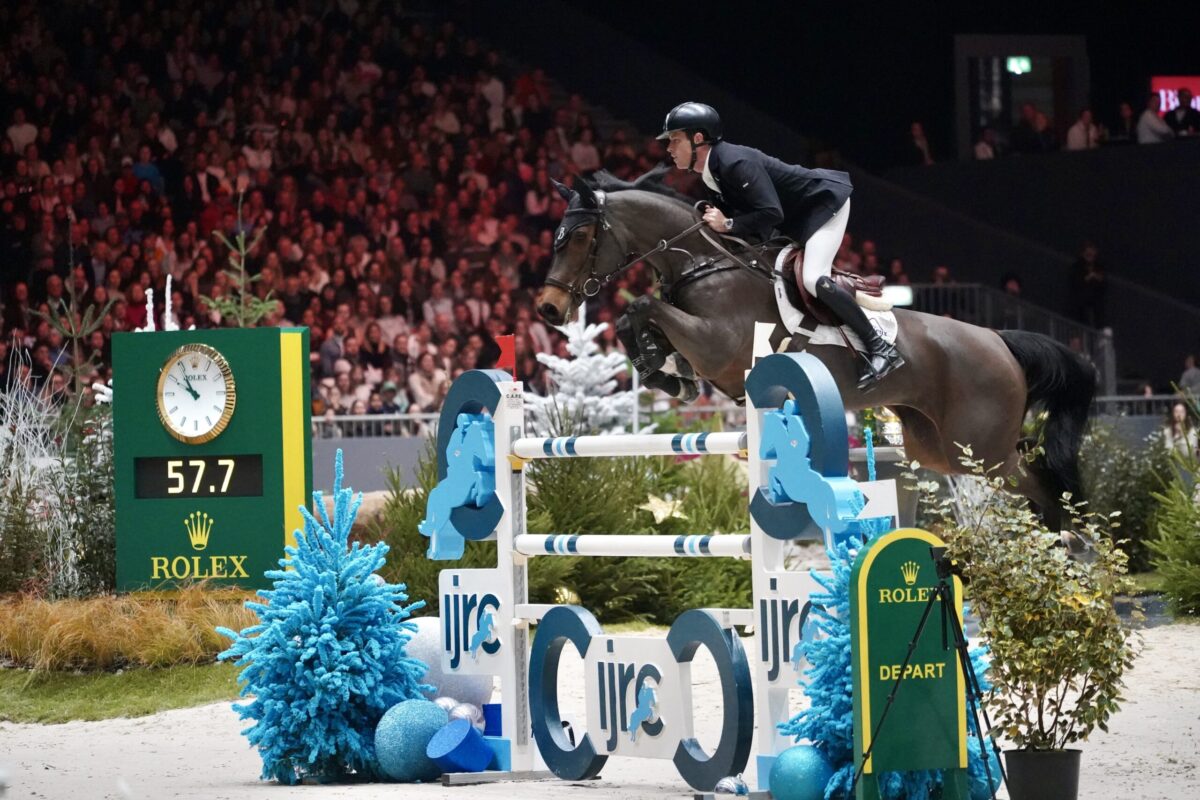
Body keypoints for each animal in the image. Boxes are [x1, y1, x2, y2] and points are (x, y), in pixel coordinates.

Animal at [535, 170, 1096, 529]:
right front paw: (663, 372)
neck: (701, 263)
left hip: (980, 451)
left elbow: (643, 306)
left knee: (1040, 482)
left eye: (578, 237)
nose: (547, 309)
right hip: (937, 448)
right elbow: (637, 317)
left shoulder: (718, 346)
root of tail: (1000, 340)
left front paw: (659, 366)